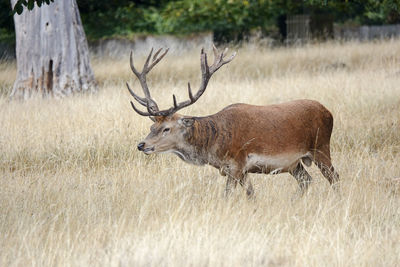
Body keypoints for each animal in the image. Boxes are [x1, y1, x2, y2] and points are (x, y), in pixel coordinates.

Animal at [126, 45, 340, 198]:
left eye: (166, 129)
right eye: (152, 126)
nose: (141, 144)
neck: (214, 143)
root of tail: (328, 111)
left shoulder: (237, 163)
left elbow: (227, 195)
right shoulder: (239, 170)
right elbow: (251, 193)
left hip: (321, 146)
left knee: (334, 177)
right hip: (295, 163)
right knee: (306, 180)